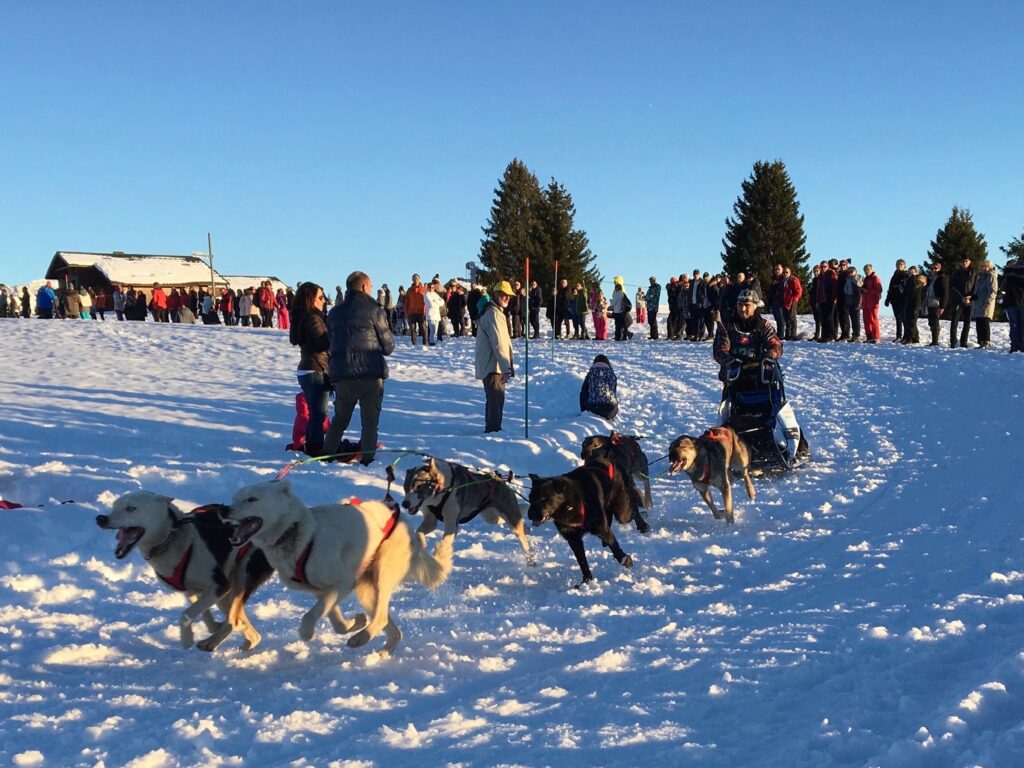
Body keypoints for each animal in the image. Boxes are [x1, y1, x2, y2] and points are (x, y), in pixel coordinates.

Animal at [95, 495, 272, 651]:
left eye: (131, 508)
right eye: (114, 506)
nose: (101, 518)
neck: (171, 537)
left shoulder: (219, 586)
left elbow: (186, 614)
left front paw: (186, 639)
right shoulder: (193, 590)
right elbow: (203, 614)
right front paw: (213, 625)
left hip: (240, 580)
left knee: (233, 620)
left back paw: (211, 642)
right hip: (227, 593)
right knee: (247, 629)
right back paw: (240, 639)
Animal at [228, 481, 452, 655]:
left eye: (251, 499)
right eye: (234, 499)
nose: (225, 510)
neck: (300, 534)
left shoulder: (343, 584)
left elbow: (309, 616)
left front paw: (307, 632)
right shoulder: (323, 592)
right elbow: (335, 621)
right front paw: (355, 623)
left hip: (382, 576)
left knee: (380, 617)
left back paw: (361, 638)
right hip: (365, 590)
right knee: (392, 628)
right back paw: (379, 651)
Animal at [397, 456, 536, 565]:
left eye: (419, 486)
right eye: (405, 487)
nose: (405, 504)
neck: (443, 489)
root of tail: (501, 481)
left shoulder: (451, 524)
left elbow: (445, 542)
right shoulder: (430, 520)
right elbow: (419, 532)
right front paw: (422, 543)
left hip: (510, 518)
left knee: (522, 538)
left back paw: (531, 559)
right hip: (492, 518)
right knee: (516, 524)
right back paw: (527, 529)